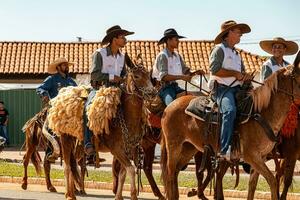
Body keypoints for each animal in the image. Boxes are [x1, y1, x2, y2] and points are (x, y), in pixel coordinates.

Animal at [58, 65, 156, 199]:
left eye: (149, 76)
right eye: (136, 76)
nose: (153, 92)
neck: (124, 116)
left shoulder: (128, 149)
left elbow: (123, 173)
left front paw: (119, 196)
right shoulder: (116, 149)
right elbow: (130, 169)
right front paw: (133, 195)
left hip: (77, 147)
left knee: (74, 165)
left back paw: (74, 191)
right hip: (66, 139)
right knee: (67, 167)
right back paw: (69, 195)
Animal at [162, 64, 300, 200]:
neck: (262, 113)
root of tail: (169, 106)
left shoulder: (262, 157)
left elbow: (253, 185)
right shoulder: (253, 156)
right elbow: (272, 181)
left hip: (189, 147)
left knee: (176, 171)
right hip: (174, 145)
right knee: (170, 172)